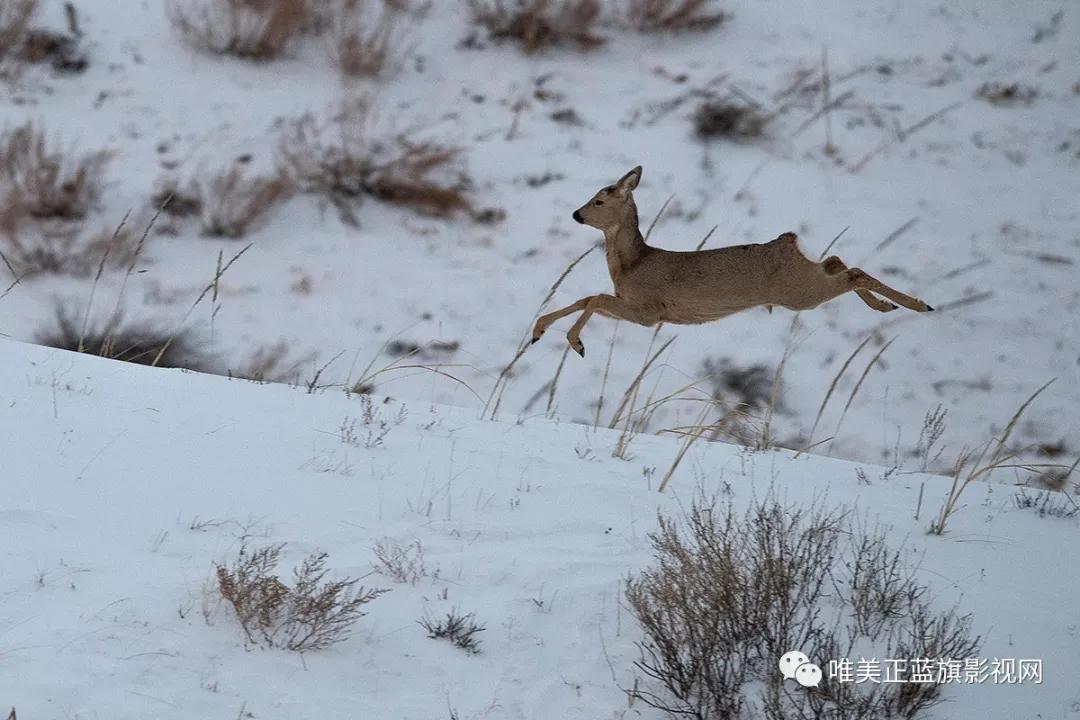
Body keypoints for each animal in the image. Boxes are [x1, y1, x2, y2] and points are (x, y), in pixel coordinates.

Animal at [527, 164, 933, 358]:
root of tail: (787, 242)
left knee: (854, 272)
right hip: (805, 281)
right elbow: (588, 298)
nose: (576, 214)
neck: (633, 263)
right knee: (837, 260)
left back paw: (915, 305)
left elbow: (593, 298)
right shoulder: (634, 307)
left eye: (598, 200)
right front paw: (539, 330)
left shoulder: (648, 311)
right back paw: (889, 306)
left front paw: (575, 342)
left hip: (799, 293)